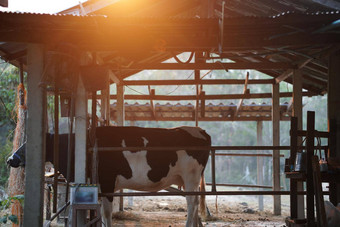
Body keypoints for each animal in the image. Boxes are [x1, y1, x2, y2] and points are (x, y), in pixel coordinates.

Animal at [7, 126, 210, 227]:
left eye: (30, 143)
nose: (10, 159)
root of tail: (200, 130)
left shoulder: (107, 182)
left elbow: (106, 213)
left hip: (191, 178)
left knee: (192, 204)